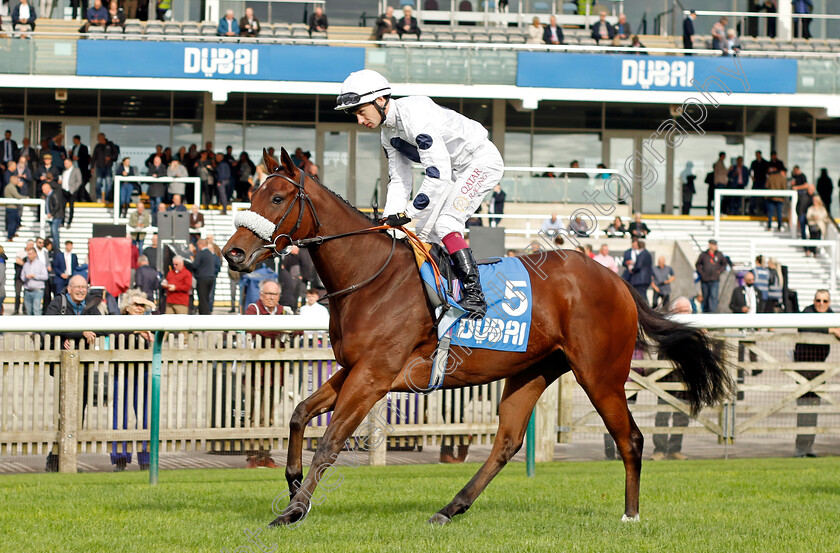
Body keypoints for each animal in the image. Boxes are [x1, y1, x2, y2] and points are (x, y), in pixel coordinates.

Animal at [223, 148, 736, 528]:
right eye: (252, 192)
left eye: (277, 198)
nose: (233, 253)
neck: (372, 277)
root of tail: (618, 281)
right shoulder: (354, 369)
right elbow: (298, 413)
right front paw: (293, 482)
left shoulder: (374, 376)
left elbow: (330, 440)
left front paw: (293, 510)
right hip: (532, 371)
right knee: (506, 442)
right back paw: (450, 508)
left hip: (600, 374)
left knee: (630, 438)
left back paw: (630, 516)